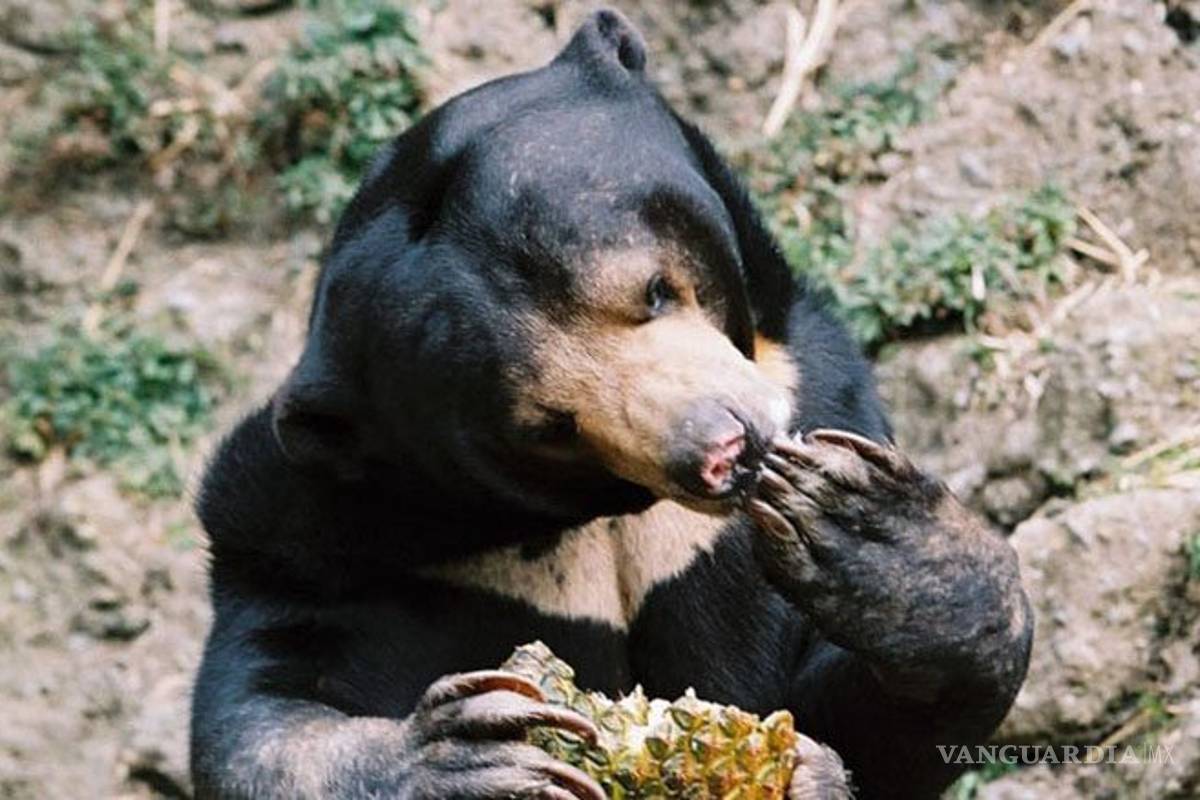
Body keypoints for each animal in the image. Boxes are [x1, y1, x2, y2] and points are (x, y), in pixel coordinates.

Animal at [190, 10, 1032, 800]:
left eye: (653, 291)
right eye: (550, 428)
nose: (726, 451)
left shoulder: (824, 386)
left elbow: (862, 723)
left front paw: (868, 531)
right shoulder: (313, 534)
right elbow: (259, 713)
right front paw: (468, 756)